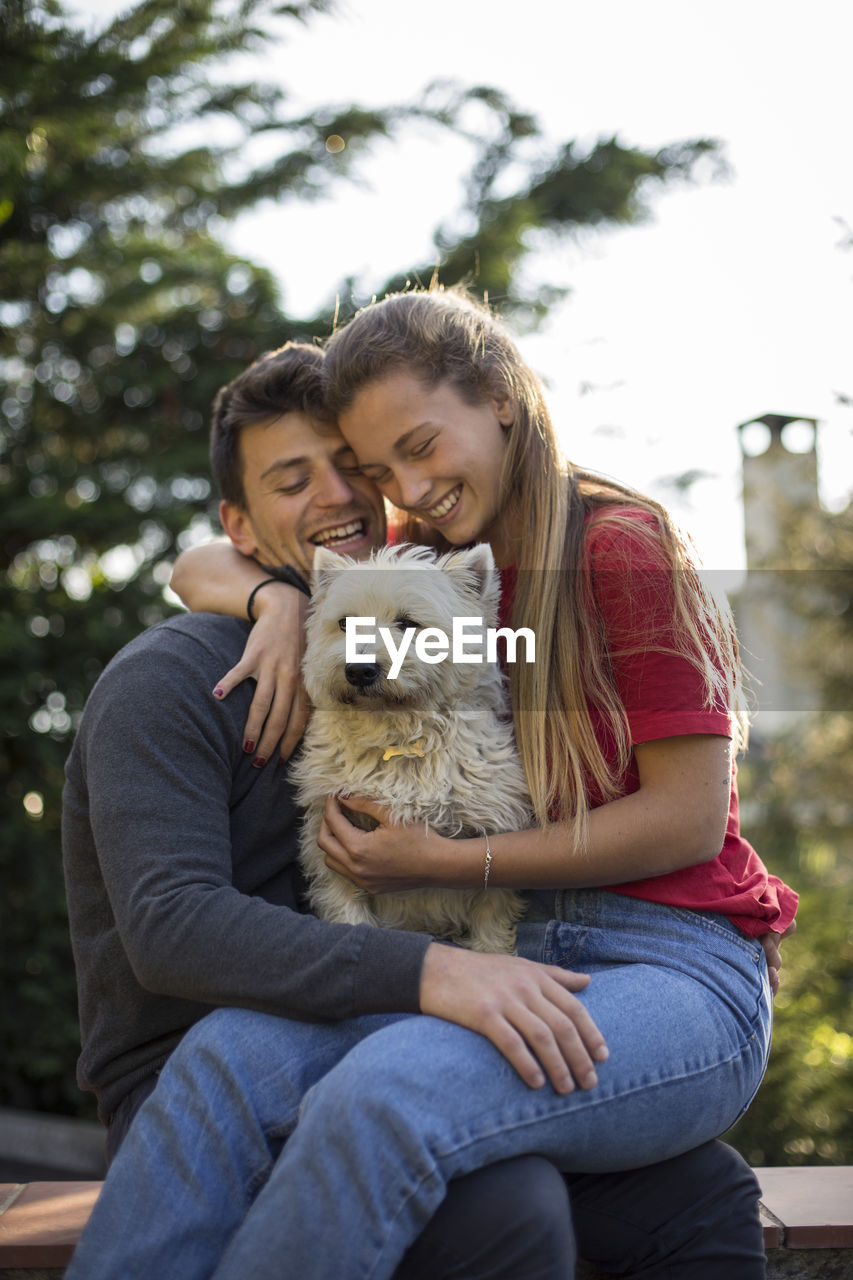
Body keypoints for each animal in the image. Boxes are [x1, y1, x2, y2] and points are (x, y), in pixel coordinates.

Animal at [292, 540, 532, 952]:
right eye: (344, 624)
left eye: (407, 623)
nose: (359, 671)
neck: (398, 733)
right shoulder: (328, 841)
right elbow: (347, 911)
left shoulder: (493, 831)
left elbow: (491, 924)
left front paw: (494, 956)